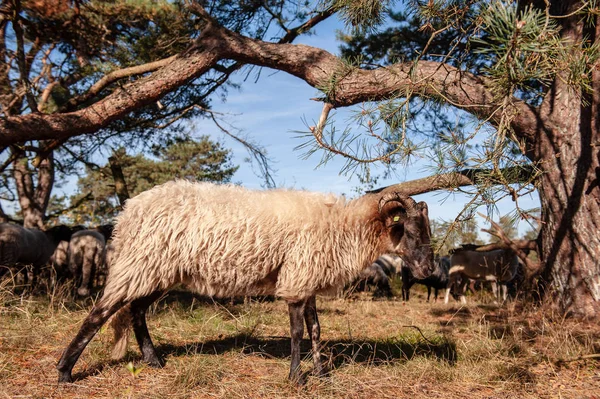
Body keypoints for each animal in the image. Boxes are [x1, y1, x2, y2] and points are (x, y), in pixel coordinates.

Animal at [57, 181, 436, 384]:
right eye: (410, 230)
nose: (428, 270)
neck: (343, 227)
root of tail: (128, 212)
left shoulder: (306, 276)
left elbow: (315, 329)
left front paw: (321, 373)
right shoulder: (297, 278)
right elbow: (297, 331)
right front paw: (296, 378)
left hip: (158, 270)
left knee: (136, 311)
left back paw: (153, 361)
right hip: (139, 262)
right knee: (99, 313)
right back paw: (64, 372)